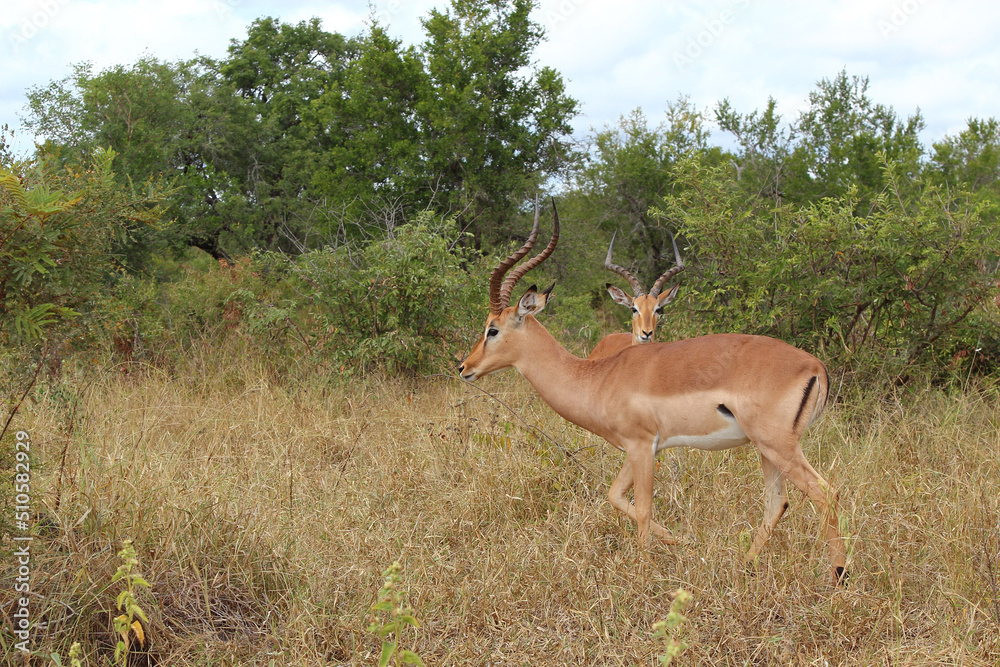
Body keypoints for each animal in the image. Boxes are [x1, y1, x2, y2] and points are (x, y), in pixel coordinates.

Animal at [458, 201, 847, 584]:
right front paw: (683, 541)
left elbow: (643, 507)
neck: (599, 377)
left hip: (779, 446)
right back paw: (746, 565)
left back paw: (839, 575)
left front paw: (644, 571)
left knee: (826, 493)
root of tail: (816, 366)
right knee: (777, 502)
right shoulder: (641, 448)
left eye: (492, 329)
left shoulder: (642, 446)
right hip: (765, 449)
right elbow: (615, 496)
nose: (464, 367)